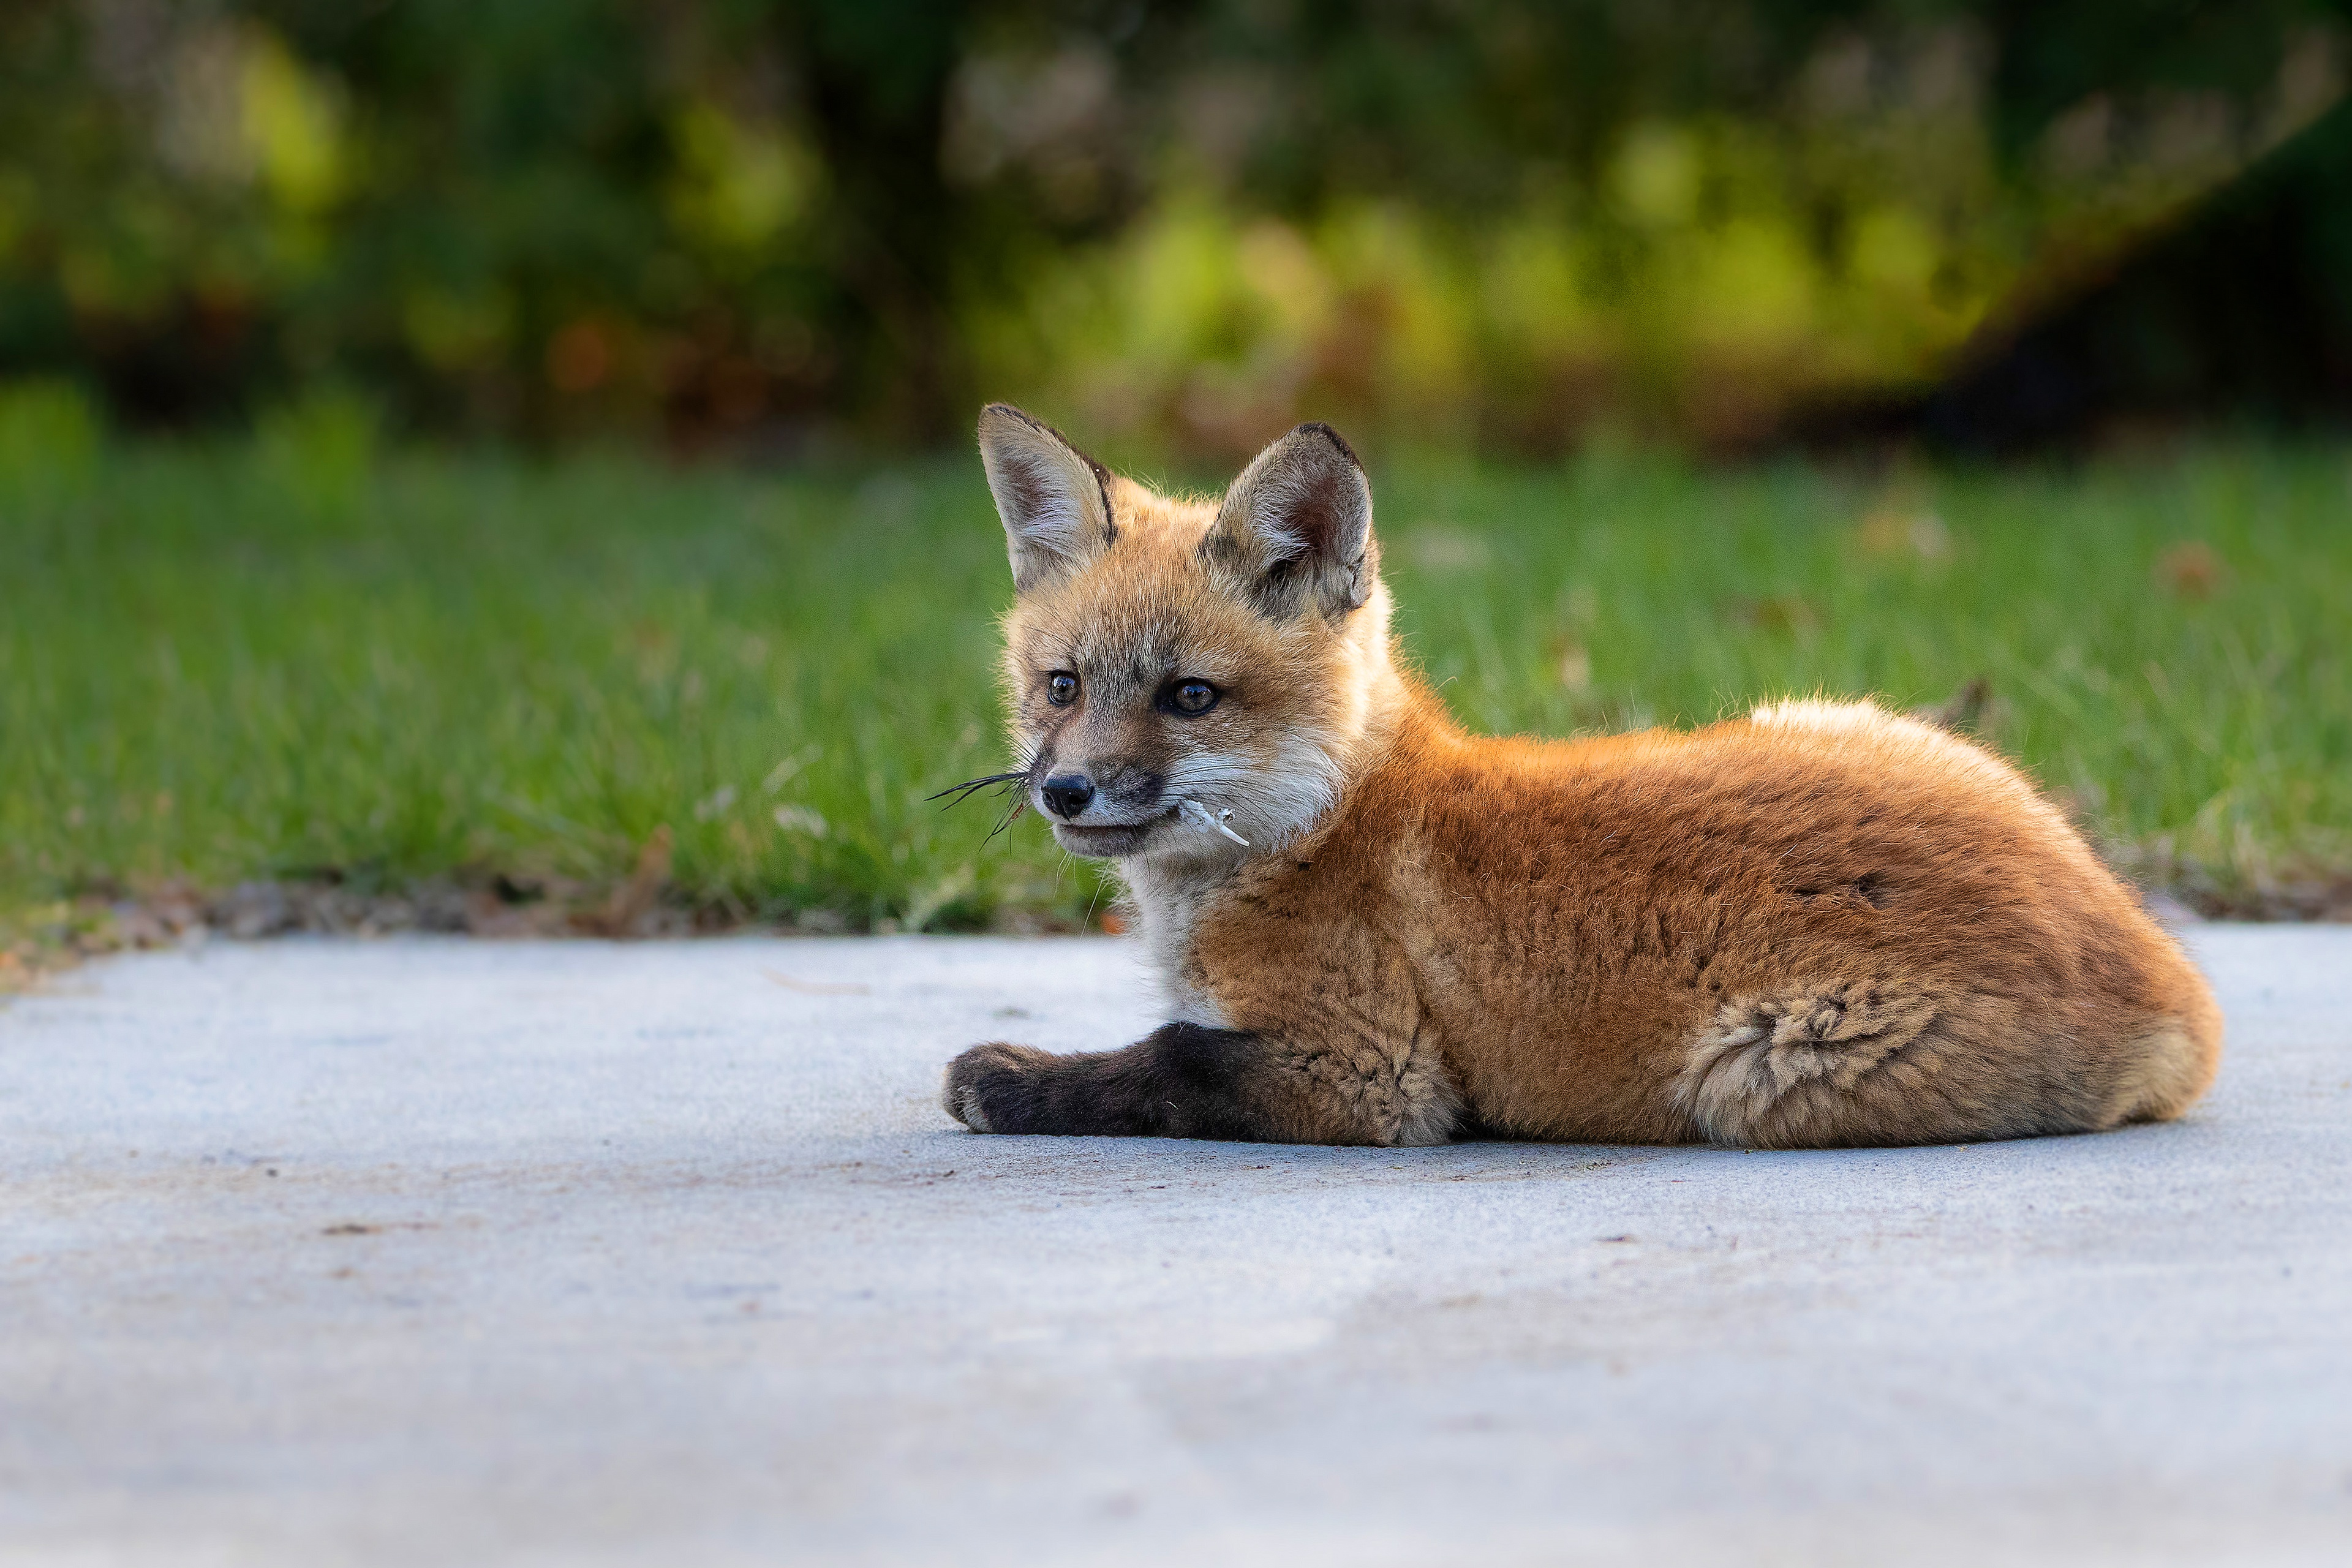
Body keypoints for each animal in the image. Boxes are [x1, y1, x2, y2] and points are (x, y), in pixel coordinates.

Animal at [936, 402, 2220, 1142]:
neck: (1327, 817)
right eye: (1063, 687)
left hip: (1750, 1079)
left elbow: (1168, 1059)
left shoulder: (1363, 1070)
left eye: (1189, 697)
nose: (1065, 792)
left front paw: (1010, 1080)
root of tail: (2170, 978)